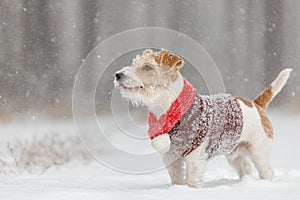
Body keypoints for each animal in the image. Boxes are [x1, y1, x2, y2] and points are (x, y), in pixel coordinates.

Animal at [113, 49, 292, 188]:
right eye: (134, 63)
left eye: (147, 66)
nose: (118, 74)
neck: (167, 107)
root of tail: (256, 105)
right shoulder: (171, 155)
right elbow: (176, 177)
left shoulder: (194, 156)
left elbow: (192, 179)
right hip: (234, 152)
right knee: (246, 168)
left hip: (259, 150)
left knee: (266, 171)